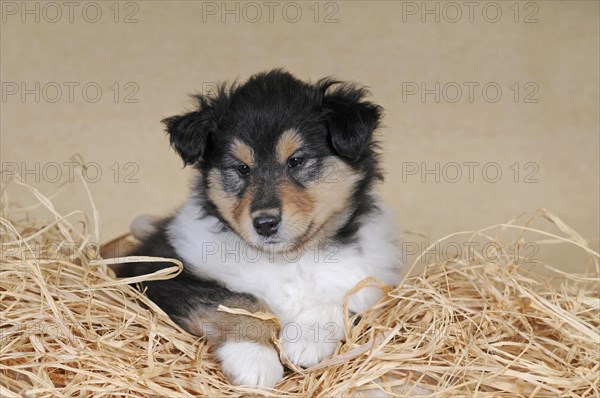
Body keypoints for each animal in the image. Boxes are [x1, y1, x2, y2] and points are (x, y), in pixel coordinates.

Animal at [115, 70, 400, 388]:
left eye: (297, 160)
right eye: (241, 168)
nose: (265, 223)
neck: (285, 260)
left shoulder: (369, 282)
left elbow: (340, 298)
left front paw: (305, 341)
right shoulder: (160, 272)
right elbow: (236, 299)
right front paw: (254, 359)